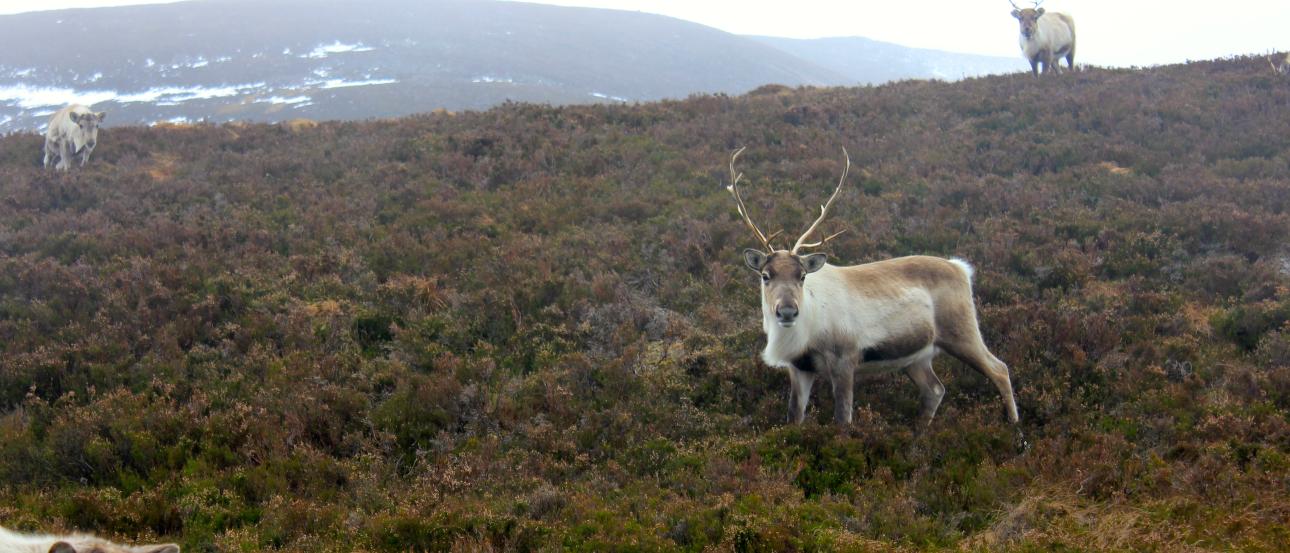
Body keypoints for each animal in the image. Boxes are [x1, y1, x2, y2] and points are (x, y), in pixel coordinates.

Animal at [727, 147, 1020, 432]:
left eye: (802, 276)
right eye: (766, 275)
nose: (787, 311)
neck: (809, 329)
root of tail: (961, 269)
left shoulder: (845, 359)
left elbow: (843, 419)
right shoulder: (799, 367)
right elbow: (794, 417)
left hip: (962, 332)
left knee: (1000, 369)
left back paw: (1015, 429)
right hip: (917, 357)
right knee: (935, 390)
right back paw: (918, 436)